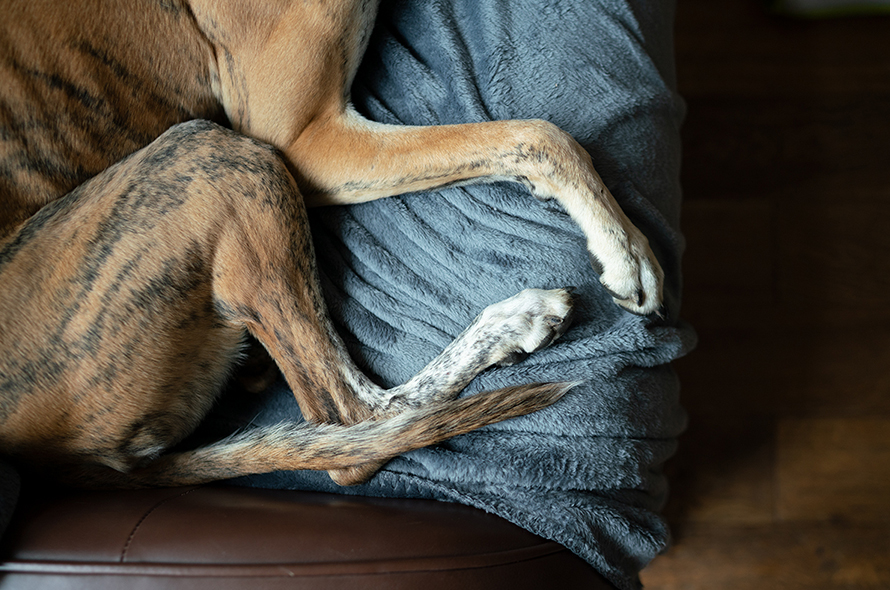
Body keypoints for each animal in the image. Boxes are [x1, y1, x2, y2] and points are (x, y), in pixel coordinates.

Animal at [0, 1, 660, 490]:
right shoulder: (305, 136)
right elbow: (540, 134)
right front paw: (624, 245)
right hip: (223, 159)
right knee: (353, 425)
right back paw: (513, 322)